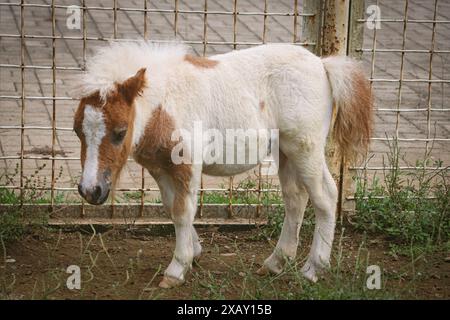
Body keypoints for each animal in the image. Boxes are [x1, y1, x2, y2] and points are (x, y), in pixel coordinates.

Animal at [72, 41, 370, 288]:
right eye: (77, 131)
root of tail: (322, 64)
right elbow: (171, 208)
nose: (90, 190)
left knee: (325, 198)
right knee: (295, 199)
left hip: (305, 148)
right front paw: (194, 253)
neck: (165, 104)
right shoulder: (160, 168)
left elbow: (182, 211)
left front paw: (176, 269)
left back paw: (313, 269)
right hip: (285, 151)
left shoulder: (187, 164)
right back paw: (275, 263)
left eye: (120, 132)